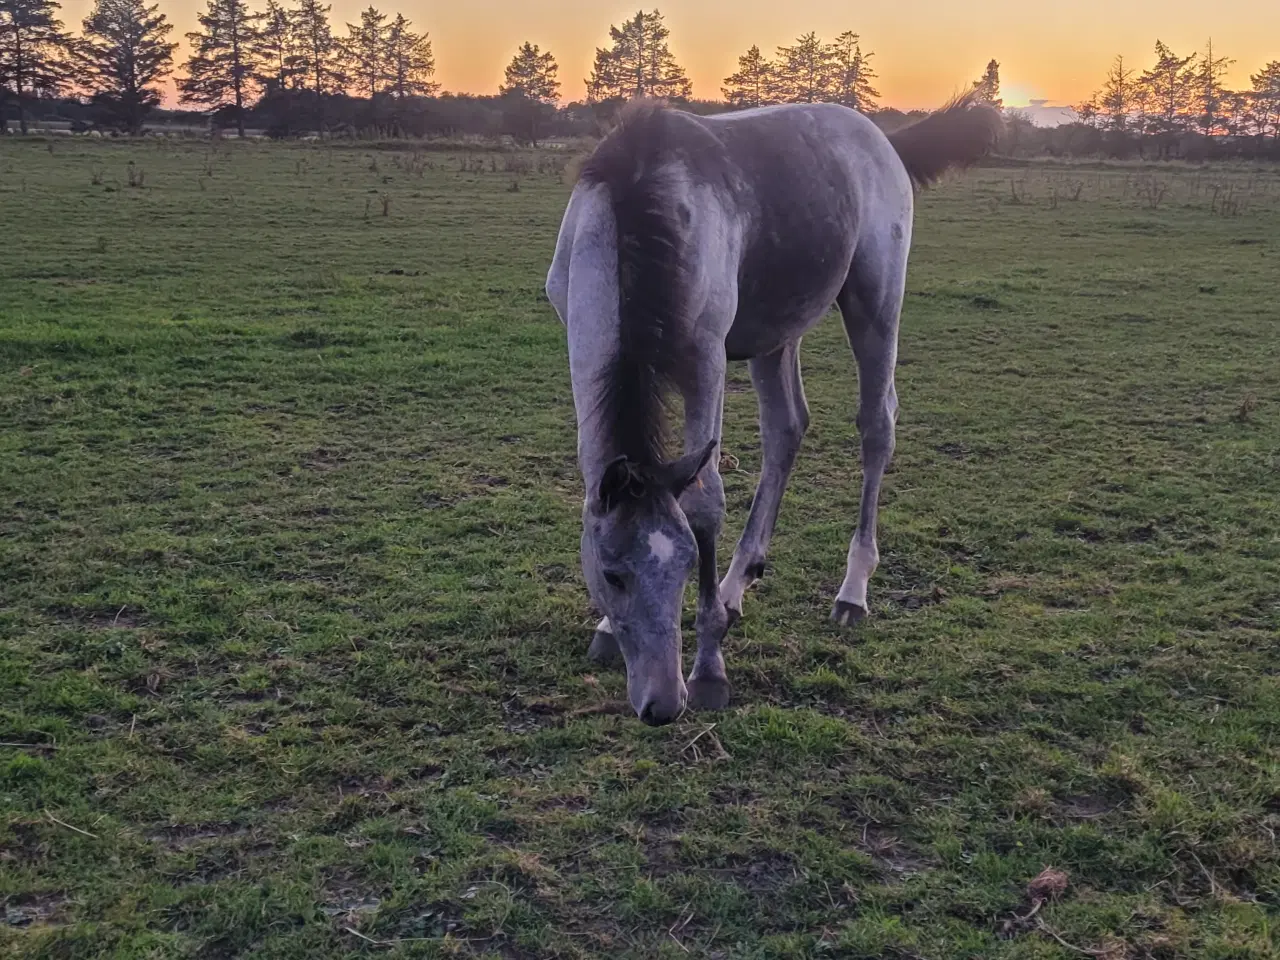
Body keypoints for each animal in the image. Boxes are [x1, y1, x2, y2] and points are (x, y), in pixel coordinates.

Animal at [545, 97, 1003, 727]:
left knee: (876, 426)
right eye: (611, 574)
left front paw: (710, 668)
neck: (637, 208)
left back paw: (852, 591)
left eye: (687, 564)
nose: (663, 705)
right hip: (773, 334)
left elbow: (707, 501)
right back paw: (739, 584)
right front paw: (610, 629)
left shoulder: (706, 356)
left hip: (875, 301)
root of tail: (883, 140)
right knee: (787, 429)